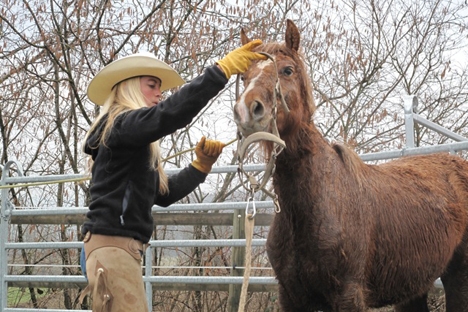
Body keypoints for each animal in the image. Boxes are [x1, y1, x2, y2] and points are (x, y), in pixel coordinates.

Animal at [233, 19, 468, 312]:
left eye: (287, 70)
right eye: (244, 77)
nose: (247, 110)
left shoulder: (348, 295)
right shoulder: (290, 296)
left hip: (458, 274)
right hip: (414, 285)